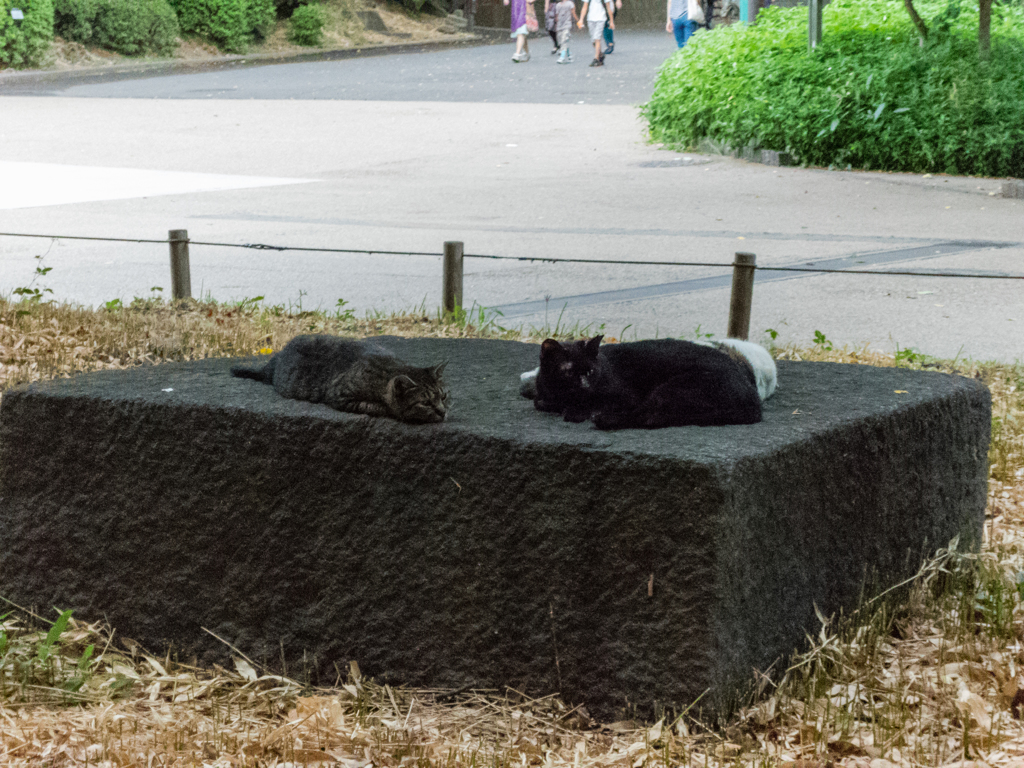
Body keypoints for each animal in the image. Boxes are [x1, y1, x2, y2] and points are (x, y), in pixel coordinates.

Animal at [232, 333, 448, 423]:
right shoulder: (341, 395)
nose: (443, 412)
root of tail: (277, 355)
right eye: (425, 403)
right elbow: (375, 406)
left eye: (444, 397)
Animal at [520, 335, 774, 434]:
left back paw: (604, 419)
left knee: (648, 417)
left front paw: (577, 411)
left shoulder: (623, 395)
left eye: (590, 372)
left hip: (673, 388)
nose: (584, 386)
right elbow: (539, 401)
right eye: (569, 372)